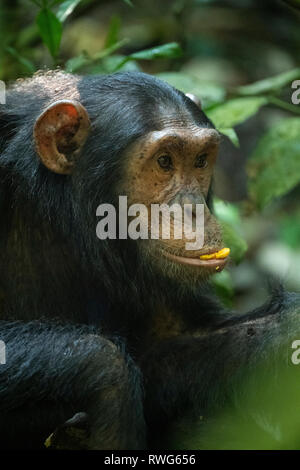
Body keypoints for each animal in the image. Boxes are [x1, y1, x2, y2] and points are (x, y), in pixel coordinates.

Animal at [0, 71, 298, 450]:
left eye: (200, 161)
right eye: (164, 161)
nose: (193, 209)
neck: (54, 203)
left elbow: (164, 348)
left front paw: (289, 330)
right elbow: (109, 368)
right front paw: (111, 383)